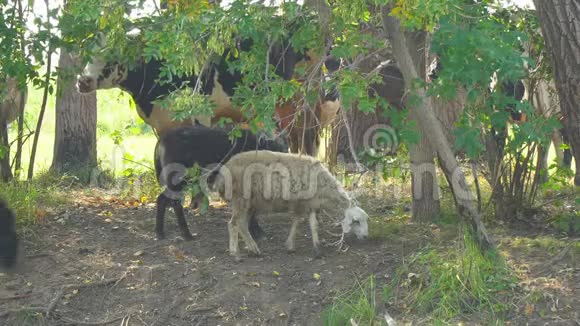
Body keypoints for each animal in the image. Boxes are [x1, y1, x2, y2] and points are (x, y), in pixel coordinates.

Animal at [155, 126, 288, 241]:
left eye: (285, 150)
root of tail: (162, 140)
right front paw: (255, 232)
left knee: (161, 199)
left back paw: (160, 233)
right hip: (179, 181)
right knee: (175, 203)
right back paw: (187, 235)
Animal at [212, 150, 368, 260]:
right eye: (356, 221)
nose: (366, 236)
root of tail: (223, 172)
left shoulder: (311, 204)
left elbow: (314, 226)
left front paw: (317, 249)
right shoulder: (300, 202)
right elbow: (297, 222)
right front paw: (290, 246)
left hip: (250, 202)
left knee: (242, 224)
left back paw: (252, 249)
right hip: (241, 199)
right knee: (233, 223)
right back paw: (236, 253)